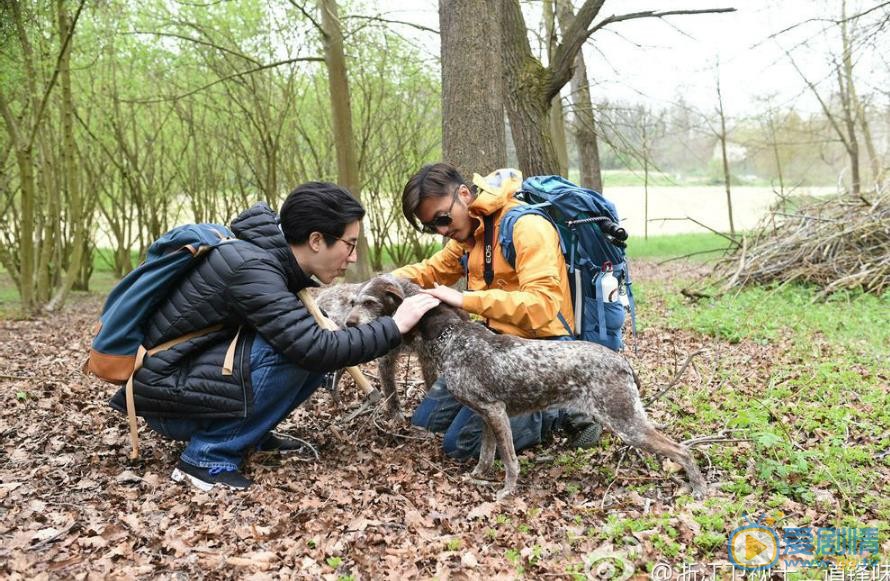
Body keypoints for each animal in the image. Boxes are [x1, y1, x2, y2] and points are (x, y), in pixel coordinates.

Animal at [316, 280, 438, 416]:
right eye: (352, 303)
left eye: (369, 303)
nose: (349, 323)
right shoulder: (386, 361)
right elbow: (390, 389)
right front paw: (395, 413)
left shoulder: (426, 359)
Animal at [344, 274, 704, 498]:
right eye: (353, 302)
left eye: (370, 302)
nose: (348, 324)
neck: (452, 337)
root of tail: (622, 362)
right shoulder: (485, 416)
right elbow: (487, 456)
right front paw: (478, 477)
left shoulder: (495, 412)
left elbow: (510, 460)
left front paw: (506, 492)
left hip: (626, 423)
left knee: (682, 450)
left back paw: (698, 488)